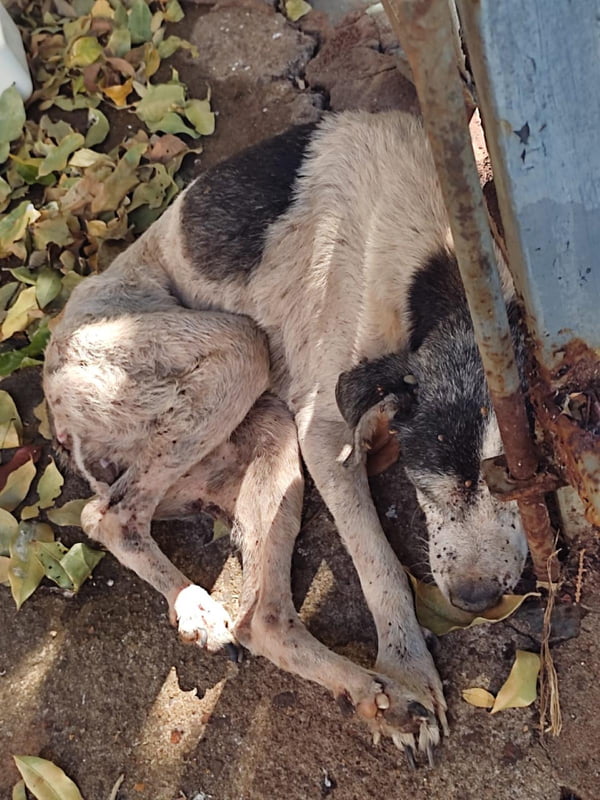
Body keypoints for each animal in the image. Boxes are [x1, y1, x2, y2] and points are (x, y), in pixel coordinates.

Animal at [44, 112, 528, 764]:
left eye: (516, 484)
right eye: (427, 485)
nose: (475, 601)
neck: (442, 268)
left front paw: (399, 679)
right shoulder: (326, 432)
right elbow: (380, 565)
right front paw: (407, 665)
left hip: (265, 437)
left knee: (261, 619)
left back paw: (374, 696)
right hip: (220, 353)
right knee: (109, 517)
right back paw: (200, 608)